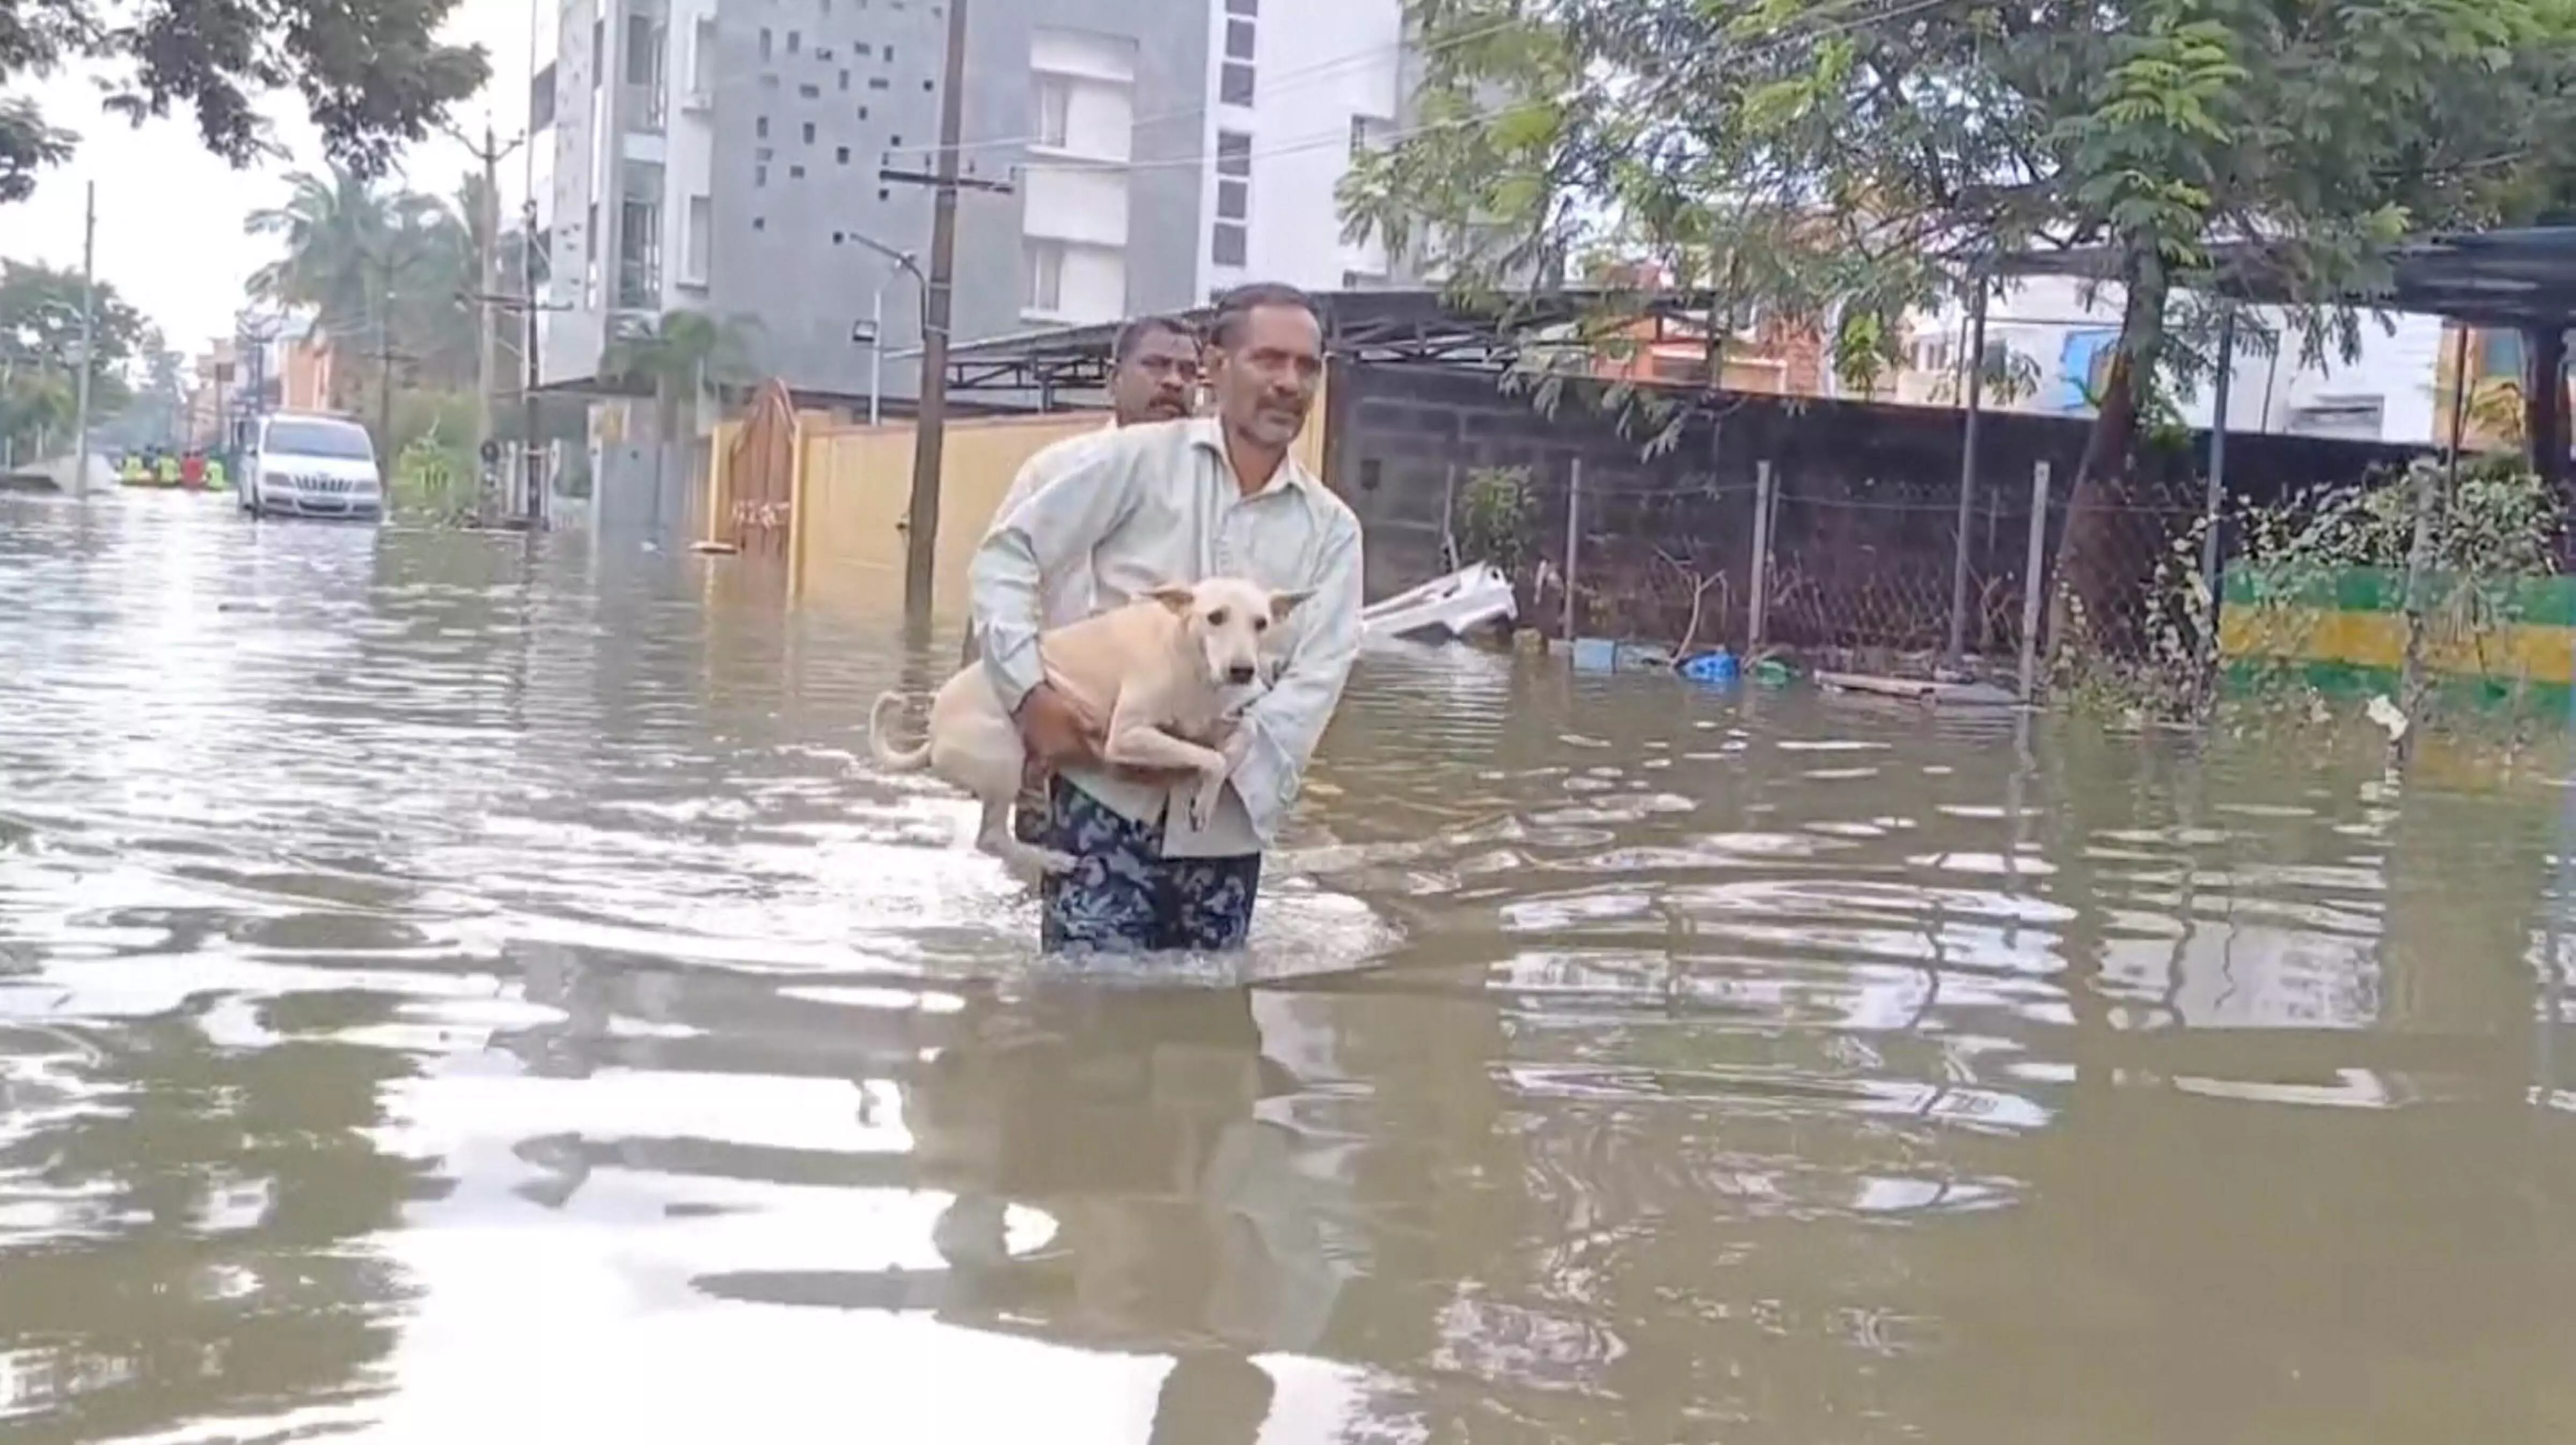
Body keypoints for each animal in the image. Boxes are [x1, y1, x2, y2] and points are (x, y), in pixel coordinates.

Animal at [870, 576, 1308, 875]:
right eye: (1215, 617)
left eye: (1261, 624)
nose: (1243, 671)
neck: (1187, 652)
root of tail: (933, 737)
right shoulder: (1128, 736)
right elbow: (1211, 759)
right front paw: (1203, 797)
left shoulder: (1206, 723)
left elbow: (1241, 738)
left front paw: (1207, 796)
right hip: (1004, 758)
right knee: (991, 839)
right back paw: (1053, 859)